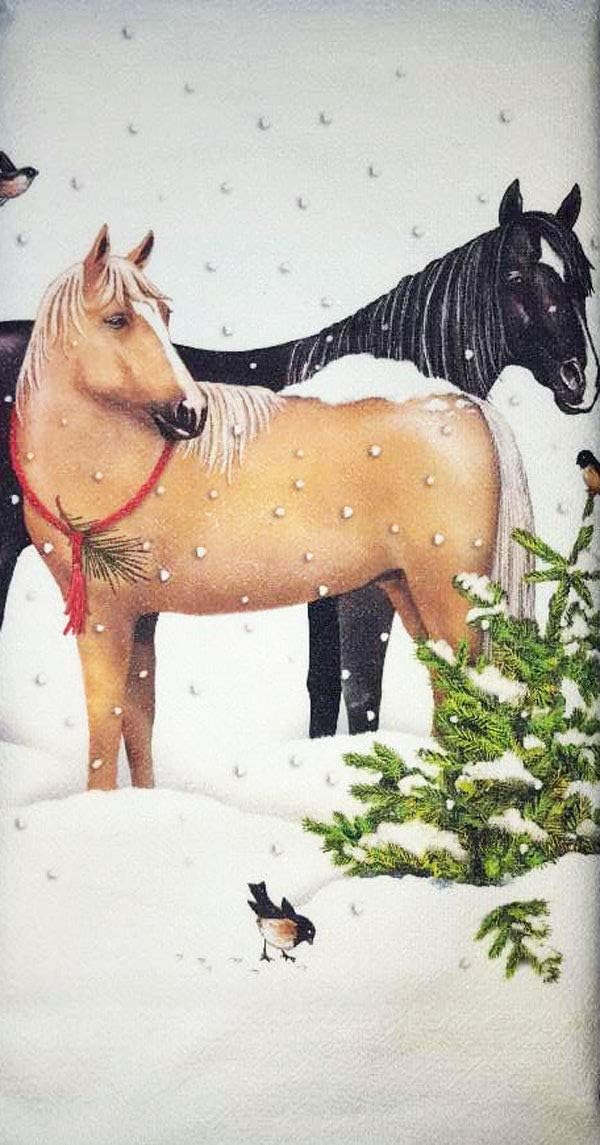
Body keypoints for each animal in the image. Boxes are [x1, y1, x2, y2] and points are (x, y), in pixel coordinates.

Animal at [1, 180, 595, 736]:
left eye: (582, 277)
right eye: (515, 277)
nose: (577, 380)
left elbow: (338, 686)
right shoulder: (358, 591)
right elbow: (350, 687)